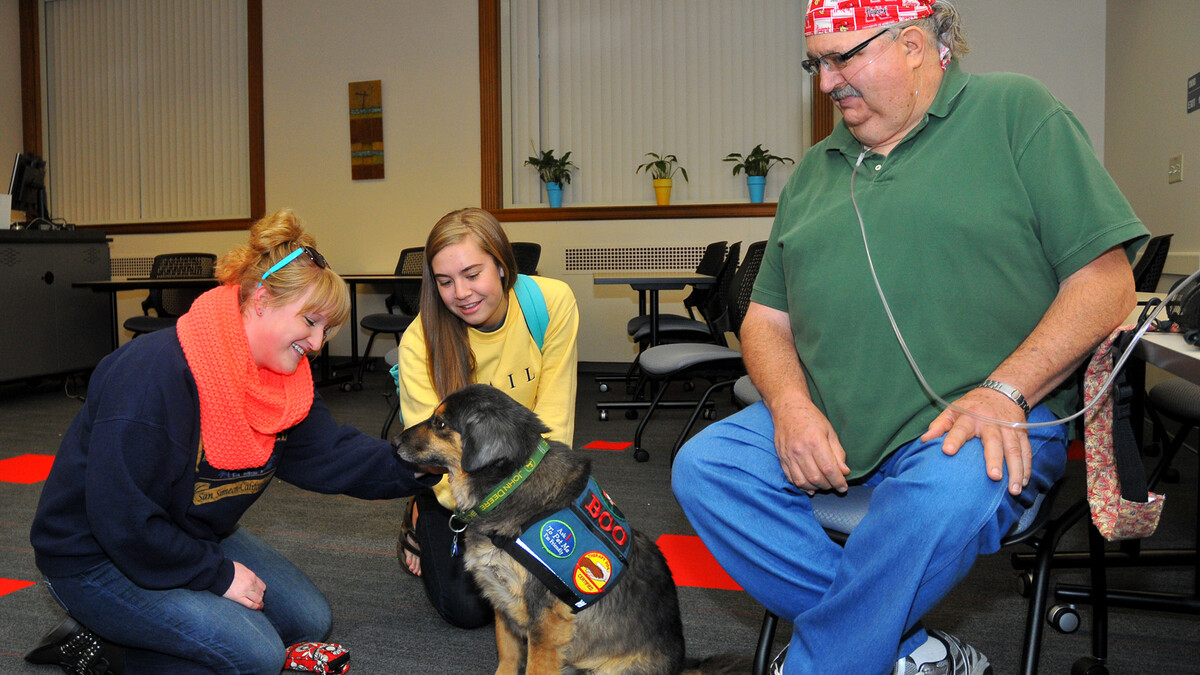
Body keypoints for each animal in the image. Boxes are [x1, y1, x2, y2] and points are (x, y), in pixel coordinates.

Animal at [393, 384, 739, 672]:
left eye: (440, 423)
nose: (395, 441)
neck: (509, 486)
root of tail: (681, 666)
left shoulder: (545, 622)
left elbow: (535, 667)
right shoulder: (503, 604)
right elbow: (507, 656)